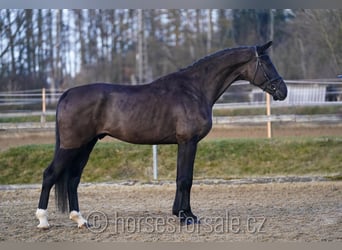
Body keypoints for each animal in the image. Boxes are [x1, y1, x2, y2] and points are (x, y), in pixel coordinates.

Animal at [35, 41, 286, 229]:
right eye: (266, 62)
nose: (283, 91)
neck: (194, 89)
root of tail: (67, 94)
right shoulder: (188, 142)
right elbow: (185, 179)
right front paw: (186, 217)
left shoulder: (184, 143)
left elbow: (183, 178)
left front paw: (183, 214)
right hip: (71, 146)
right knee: (50, 174)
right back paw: (43, 220)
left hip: (86, 145)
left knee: (73, 178)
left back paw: (81, 220)